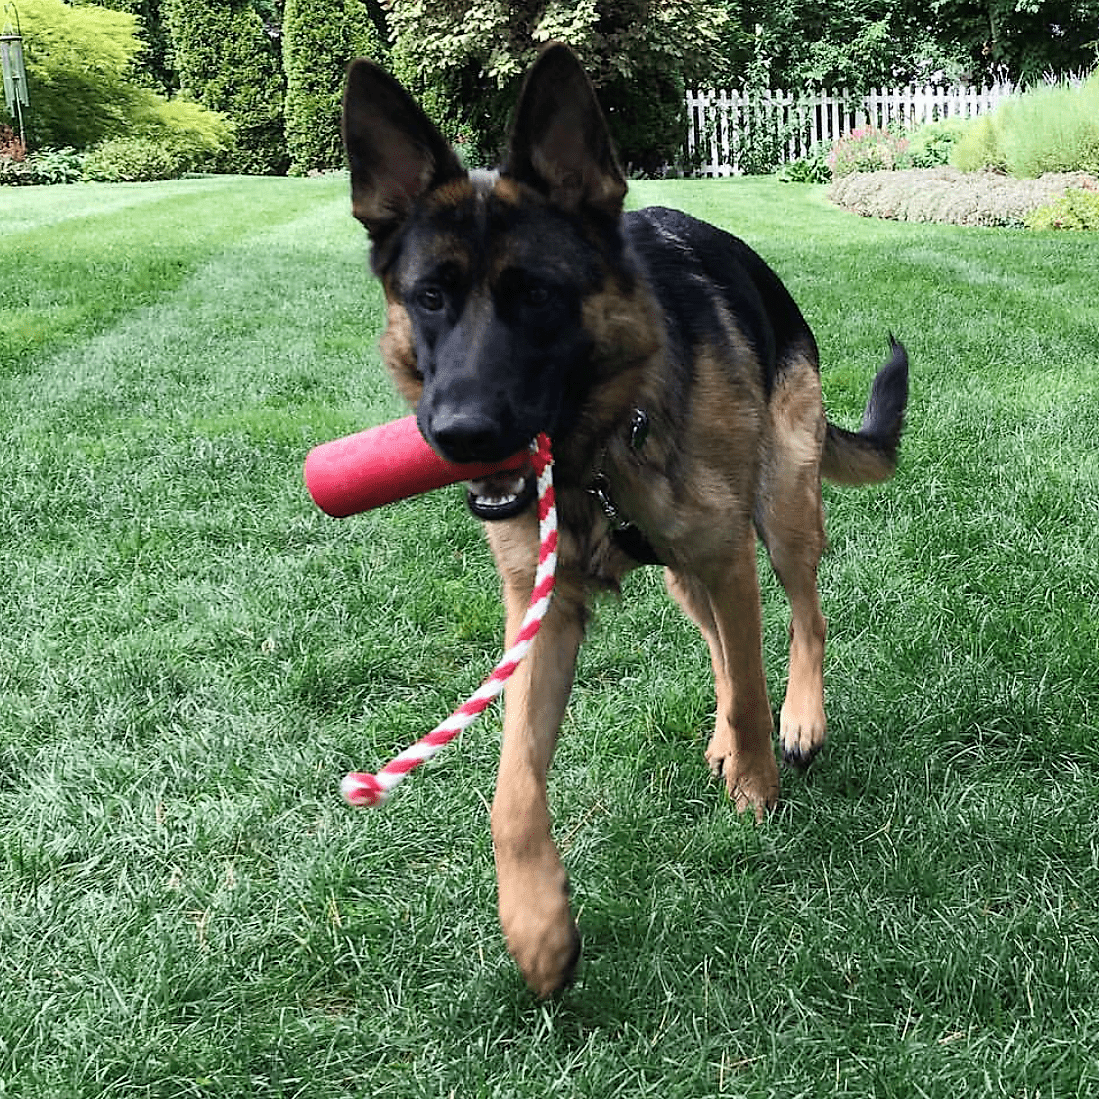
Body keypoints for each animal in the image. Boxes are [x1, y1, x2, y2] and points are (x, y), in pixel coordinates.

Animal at [342, 47, 909, 1002]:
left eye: (537, 296)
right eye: (429, 297)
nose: (460, 433)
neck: (599, 455)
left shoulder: (727, 554)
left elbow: (752, 687)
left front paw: (758, 788)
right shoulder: (544, 613)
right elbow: (511, 785)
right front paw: (537, 929)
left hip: (778, 514)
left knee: (803, 617)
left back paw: (799, 721)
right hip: (687, 573)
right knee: (721, 649)